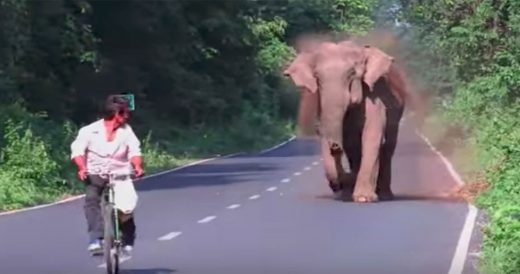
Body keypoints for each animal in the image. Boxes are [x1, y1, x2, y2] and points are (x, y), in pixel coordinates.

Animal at [282, 36, 412, 202]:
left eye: (351, 74)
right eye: (317, 77)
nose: (335, 146)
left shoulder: (375, 95)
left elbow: (372, 137)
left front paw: (363, 198)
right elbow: (349, 142)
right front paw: (350, 190)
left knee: (388, 146)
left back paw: (384, 195)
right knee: (356, 149)